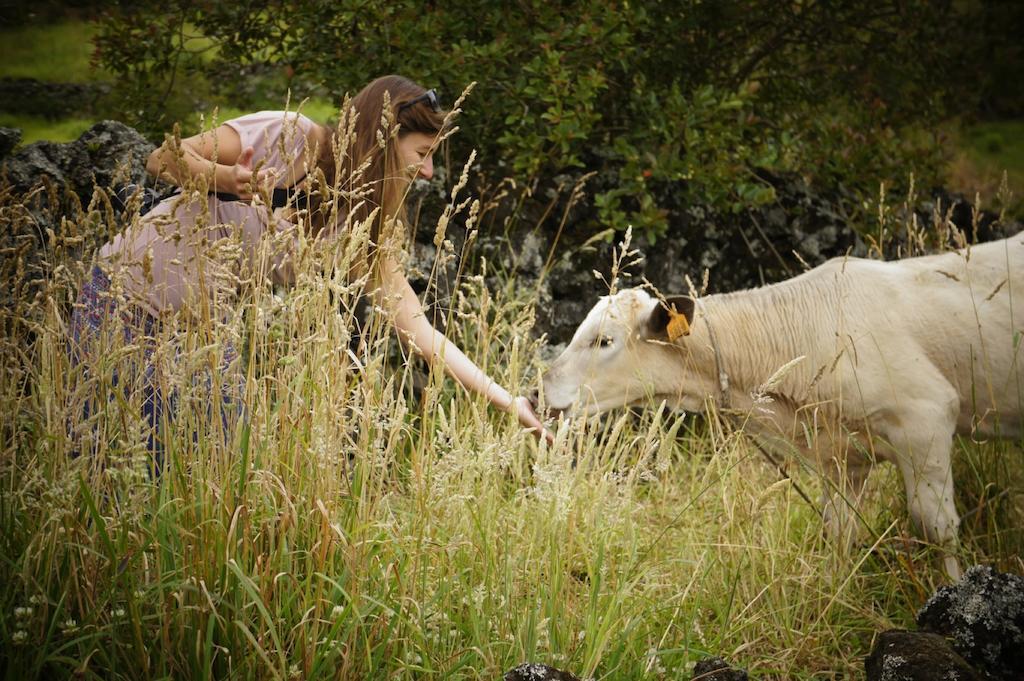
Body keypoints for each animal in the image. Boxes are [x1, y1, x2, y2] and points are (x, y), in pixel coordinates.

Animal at [540, 232, 1019, 573]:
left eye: (604, 340)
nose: (541, 390)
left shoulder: (927, 418)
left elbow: (939, 530)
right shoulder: (843, 456)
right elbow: (838, 532)